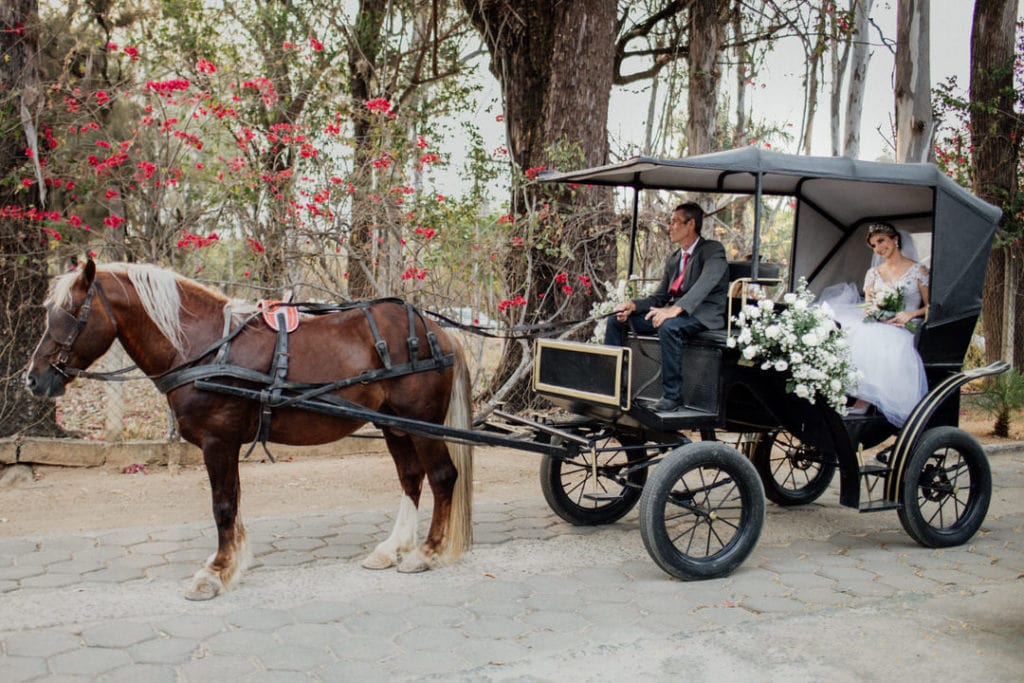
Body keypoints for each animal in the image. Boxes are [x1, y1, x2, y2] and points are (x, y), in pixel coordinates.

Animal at [24, 259, 471, 602]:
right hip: (395, 424)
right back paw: (393, 548)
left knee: (442, 476)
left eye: (70, 312)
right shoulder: (224, 444)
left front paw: (216, 573)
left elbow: (222, 506)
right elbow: (233, 503)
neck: (205, 347)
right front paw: (230, 563)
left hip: (422, 424)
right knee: (411, 478)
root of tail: (439, 331)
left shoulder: (217, 442)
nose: (33, 378)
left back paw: (427, 552)